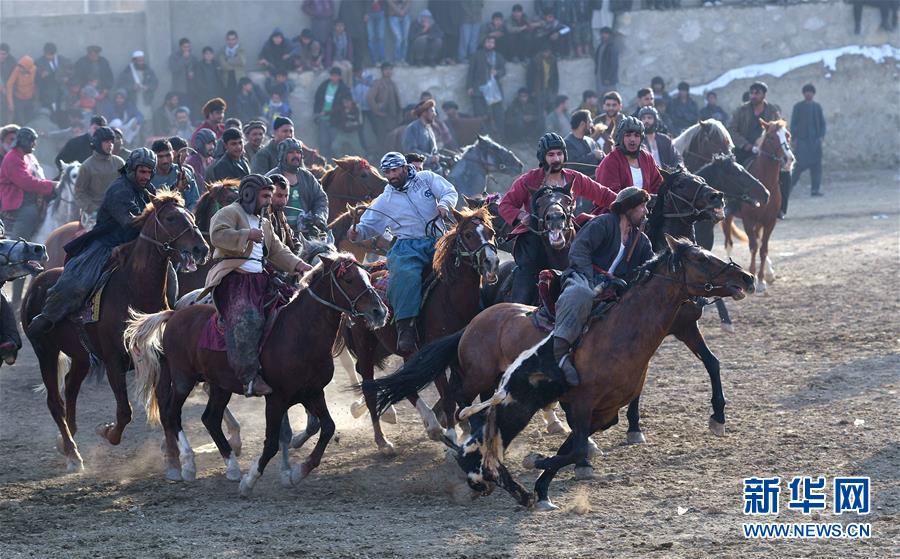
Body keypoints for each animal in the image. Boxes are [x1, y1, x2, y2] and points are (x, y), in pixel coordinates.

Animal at [22, 192, 208, 472]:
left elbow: (165, 407)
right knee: (55, 401)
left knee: (70, 387)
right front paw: (108, 432)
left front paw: (173, 458)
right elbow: (124, 411)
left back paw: (67, 441)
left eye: (191, 216)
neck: (134, 291)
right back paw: (73, 454)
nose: (201, 248)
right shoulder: (113, 362)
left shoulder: (162, 360)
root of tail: (36, 285)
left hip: (81, 357)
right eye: (171, 218)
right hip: (46, 351)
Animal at [124, 254, 386, 494]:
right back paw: (188, 466)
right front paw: (252, 480)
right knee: (171, 414)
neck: (298, 333)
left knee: (210, 418)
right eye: (349, 279)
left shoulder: (313, 392)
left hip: (220, 386)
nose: (380, 311)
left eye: (367, 275)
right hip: (183, 379)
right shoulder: (276, 399)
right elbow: (271, 443)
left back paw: (231, 467)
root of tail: (174, 314)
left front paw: (299, 471)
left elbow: (328, 428)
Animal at [342, 206, 500, 456]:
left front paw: (466, 431)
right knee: (369, 386)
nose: (491, 262)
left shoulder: (456, 355)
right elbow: (448, 396)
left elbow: (461, 394)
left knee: (406, 385)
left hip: (402, 350)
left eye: (491, 232)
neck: (451, 300)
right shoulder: (436, 358)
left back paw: (431, 425)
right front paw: (452, 438)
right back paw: (384, 441)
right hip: (366, 347)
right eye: (468, 235)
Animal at [368, 236, 760, 512]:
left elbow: (574, 446)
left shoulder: (604, 411)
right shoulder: (582, 403)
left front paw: (542, 488)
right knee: (458, 403)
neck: (622, 330)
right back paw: (457, 441)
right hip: (478, 380)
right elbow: (574, 448)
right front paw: (536, 463)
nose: (747, 276)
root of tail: (475, 322)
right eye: (701, 258)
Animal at [724, 120, 796, 296]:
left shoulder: (769, 221)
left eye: (788, 135)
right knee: (729, 243)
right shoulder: (749, 220)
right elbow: (753, 247)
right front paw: (754, 277)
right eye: (770, 137)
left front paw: (762, 279)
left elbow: (763, 249)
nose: (788, 159)